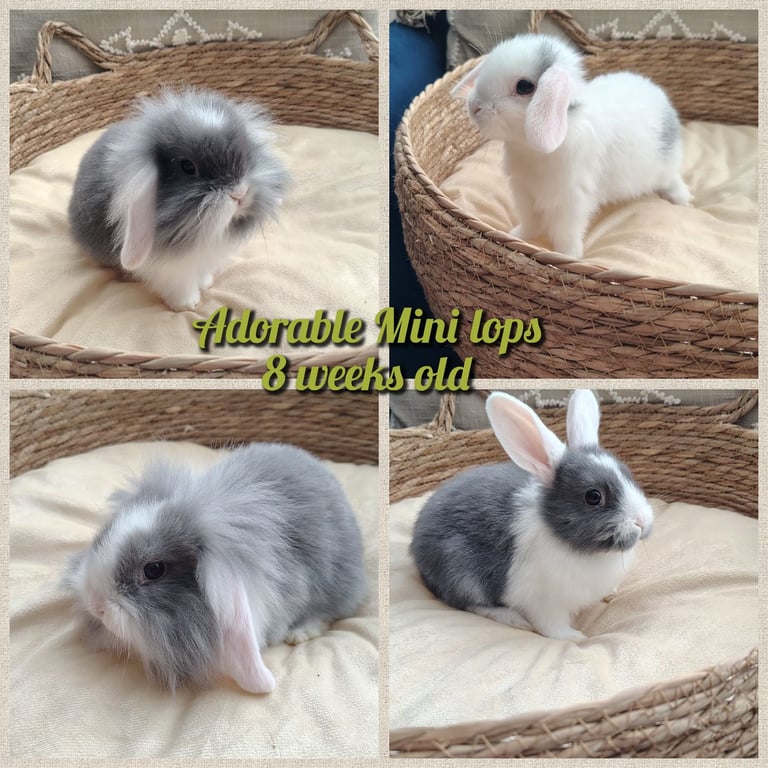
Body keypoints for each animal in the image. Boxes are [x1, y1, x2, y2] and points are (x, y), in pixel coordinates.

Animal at [68, 87, 289, 311]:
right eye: (187, 166)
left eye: (247, 153)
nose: (240, 193)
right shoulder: (171, 271)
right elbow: (181, 285)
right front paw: (187, 305)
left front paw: (206, 283)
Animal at [411, 390, 653, 641]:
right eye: (593, 496)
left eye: (627, 474)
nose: (643, 521)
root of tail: (416, 543)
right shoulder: (545, 602)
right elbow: (553, 627)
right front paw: (576, 637)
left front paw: (610, 594)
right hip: (460, 573)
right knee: (468, 603)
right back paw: (512, 618)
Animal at [451, 34, 691, 259]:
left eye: (524, 86)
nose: (474, 106)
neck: (529, 149)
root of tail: (662, 99)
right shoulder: (524, 193)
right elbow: (530, 221)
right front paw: (517, 236)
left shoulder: (570, 202)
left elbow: (565, 232)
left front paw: (567, 256)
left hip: (664, 167)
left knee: (672, 179)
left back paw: (682, 199)